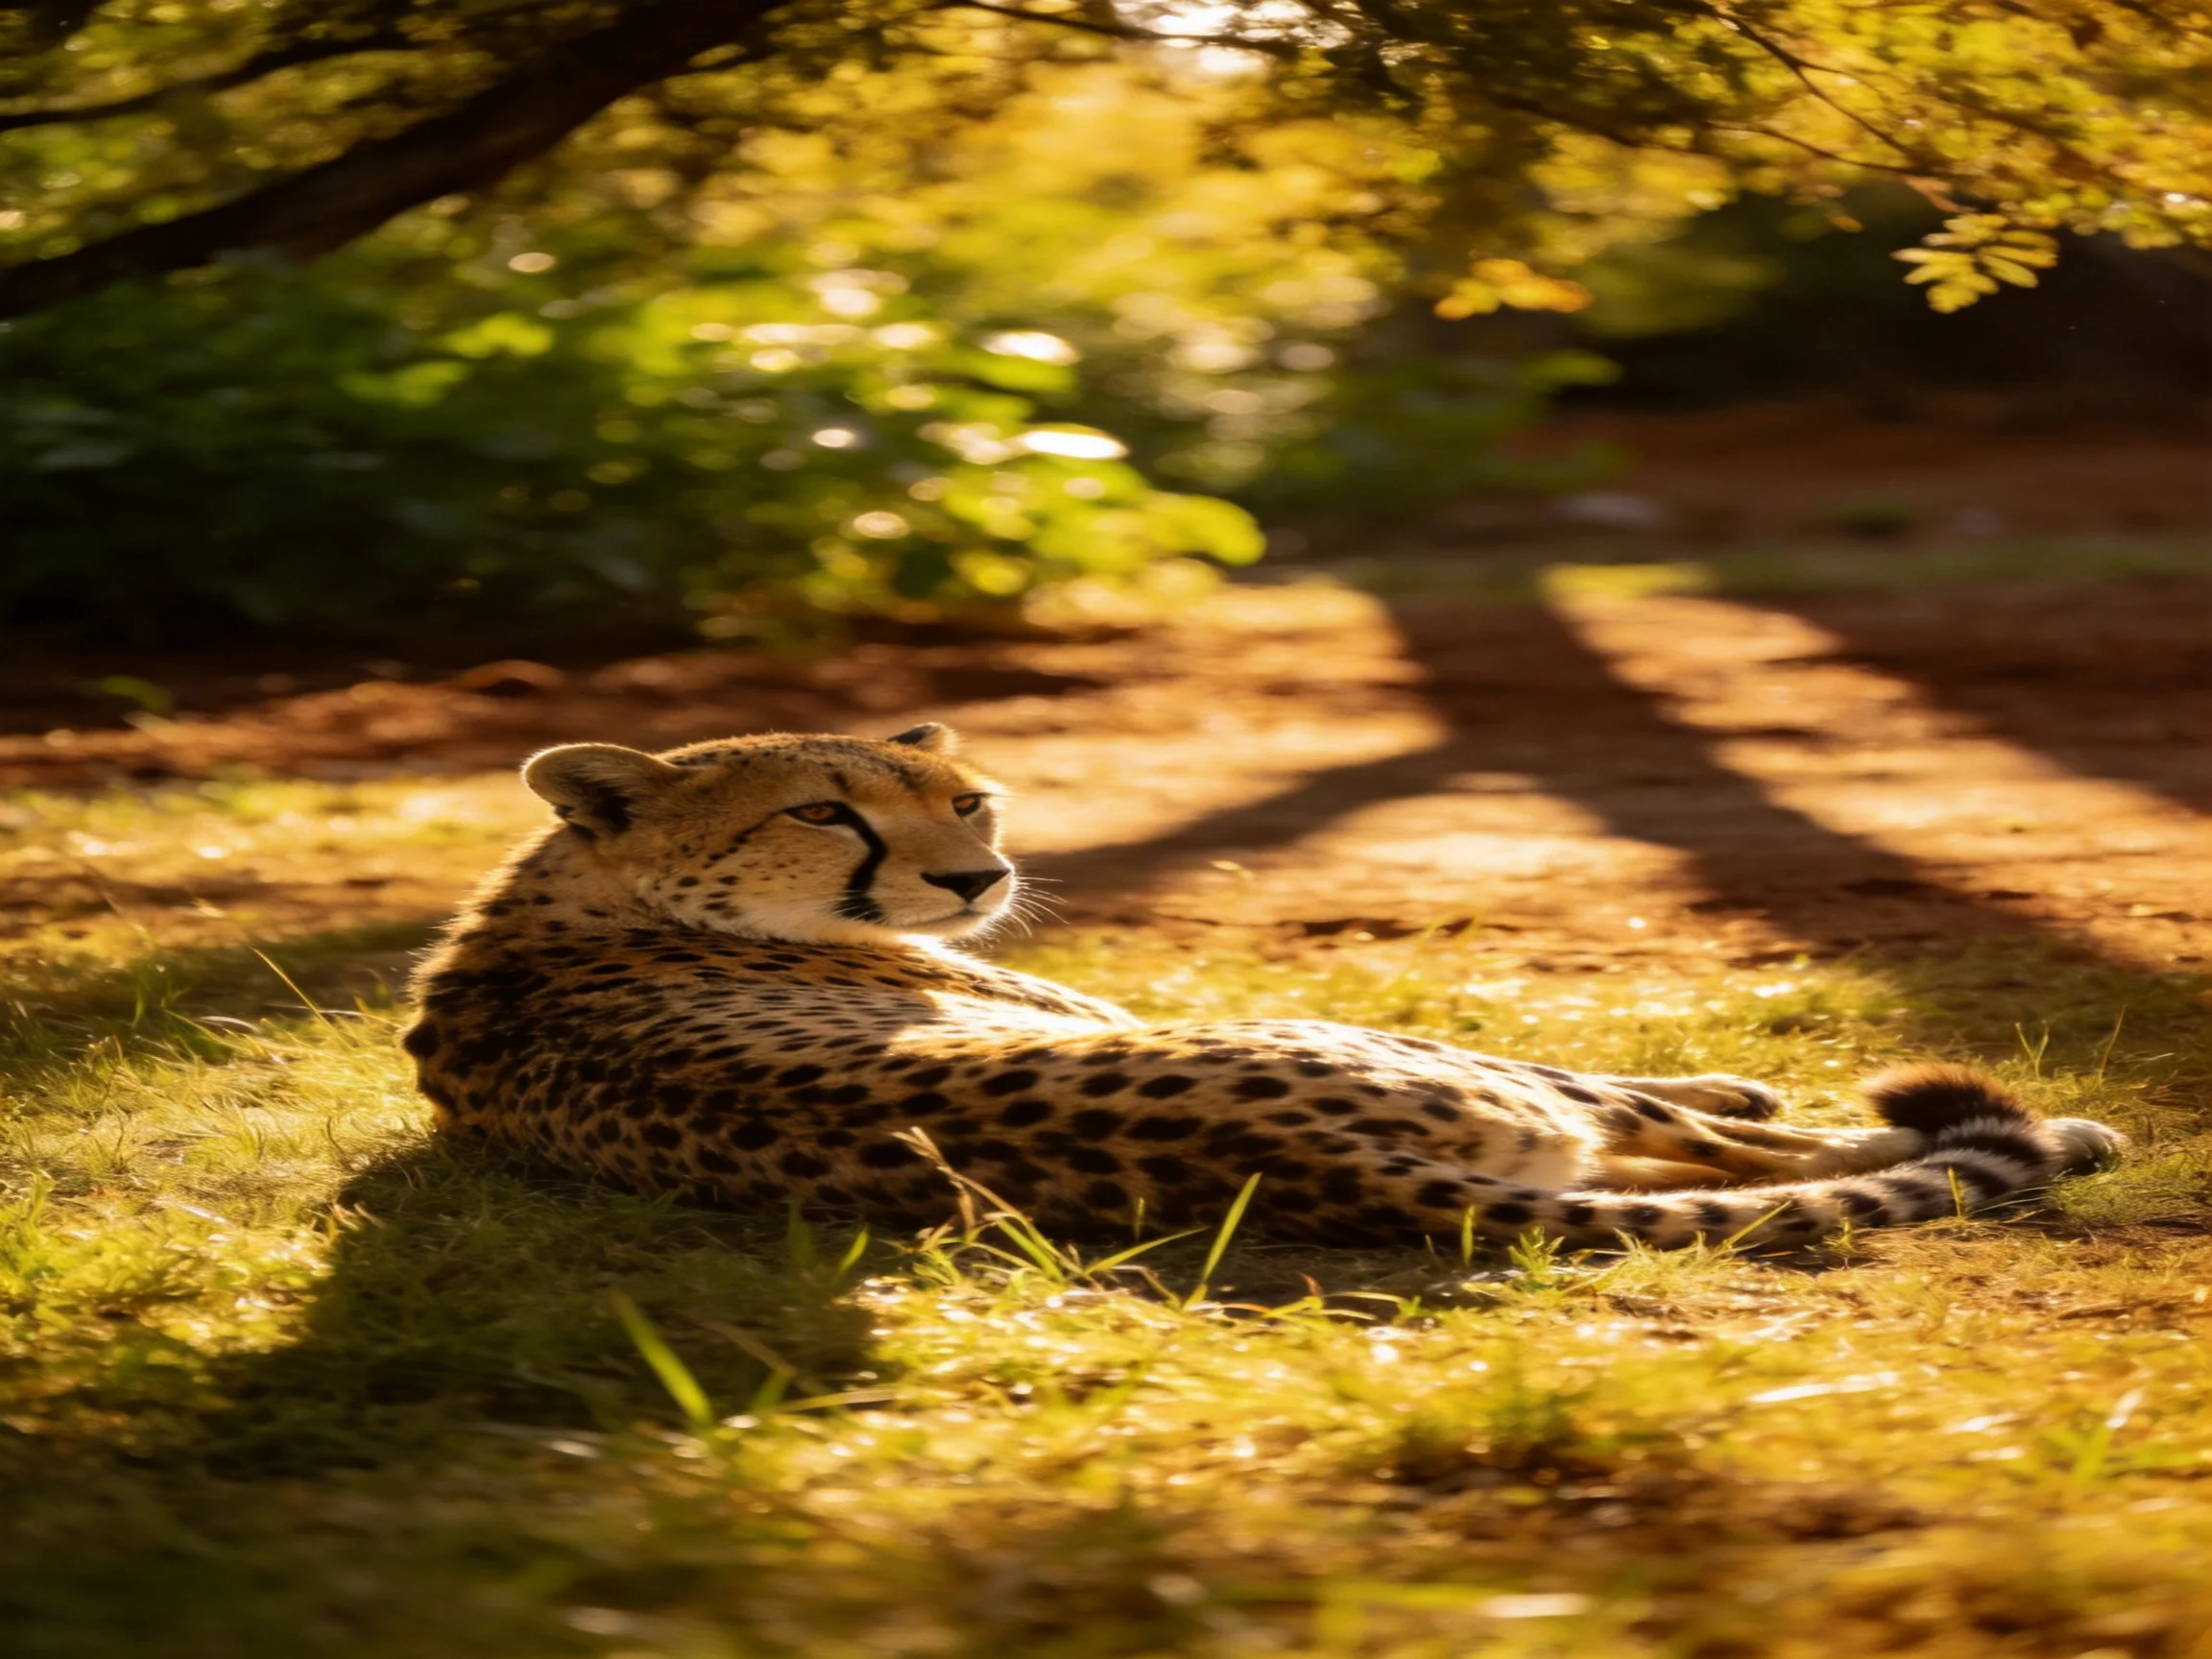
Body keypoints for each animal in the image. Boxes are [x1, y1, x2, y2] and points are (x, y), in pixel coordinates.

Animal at [404, 724, 2125, 1250]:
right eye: (824, 812)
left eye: (966, 797)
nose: (971, 882)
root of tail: (1310, 1164)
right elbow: (1679, 1101)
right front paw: (1748, 1084)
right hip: (1378, 1050)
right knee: (1707, 1145)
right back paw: (2056, 1133)